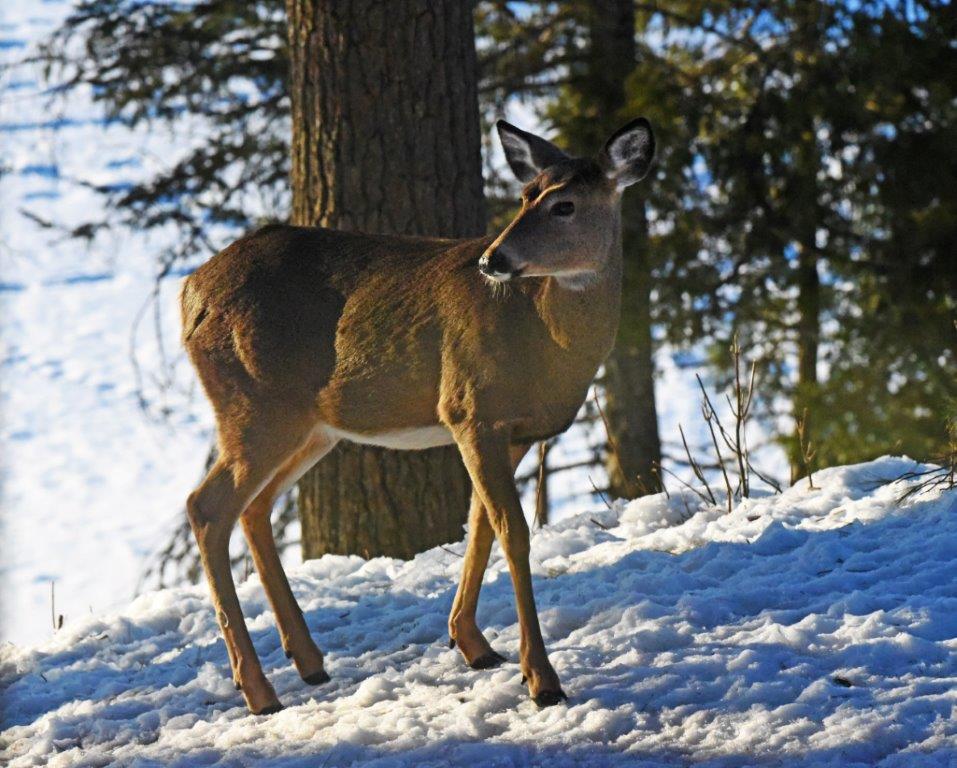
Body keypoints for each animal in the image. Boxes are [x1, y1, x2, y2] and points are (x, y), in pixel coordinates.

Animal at [180, 117, 655, 715]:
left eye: (564, 205)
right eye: (526, 196)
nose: (492, 259)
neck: (548, 340)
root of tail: (188, 294)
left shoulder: (512, 432)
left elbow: (480, 524)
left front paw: (473, 644)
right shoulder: (469, 408)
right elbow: (513, 532)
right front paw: (541, 680)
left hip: (310, 426)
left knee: (253, 508)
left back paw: (308, 661)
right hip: (254, 407)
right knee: (206, 507)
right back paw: (260, 691)